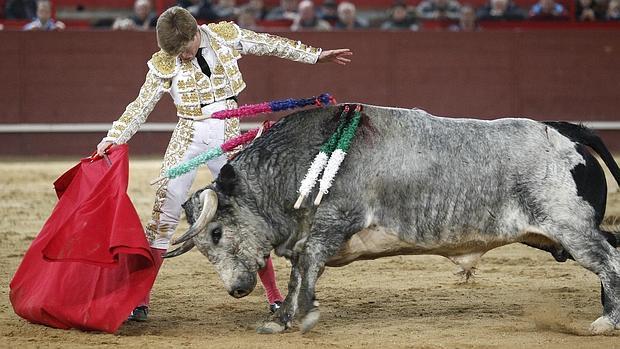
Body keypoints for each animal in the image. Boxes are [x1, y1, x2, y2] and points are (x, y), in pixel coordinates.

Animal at [163, 104, 620, 334]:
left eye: (217, 232)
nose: (237, 289)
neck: (299, 162)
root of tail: (567, 131)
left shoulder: (332, 222)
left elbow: (307, 266)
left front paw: (299, 317)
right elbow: (297, 274)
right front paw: (280, 318)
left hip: (571, 229)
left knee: (609, 262)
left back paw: (607, 321)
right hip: (558, 235)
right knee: (613, 248)